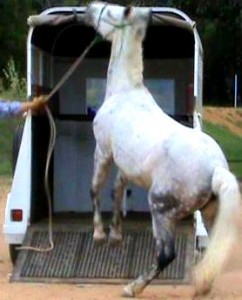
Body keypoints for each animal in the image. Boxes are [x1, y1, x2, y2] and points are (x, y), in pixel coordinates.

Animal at [84, 1, 241, 298]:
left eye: (109, 11)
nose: (89, 7)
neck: (125, 93)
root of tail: (215, 169)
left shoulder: (103, 152)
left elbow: (96, 188)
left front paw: (99, 234)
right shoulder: (124, 167)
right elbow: (117, 192)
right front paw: (115, 235)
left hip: (160, 209)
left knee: (166, 254)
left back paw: (132, 287)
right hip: (211, 212)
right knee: (214, 250)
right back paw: (202, 285)